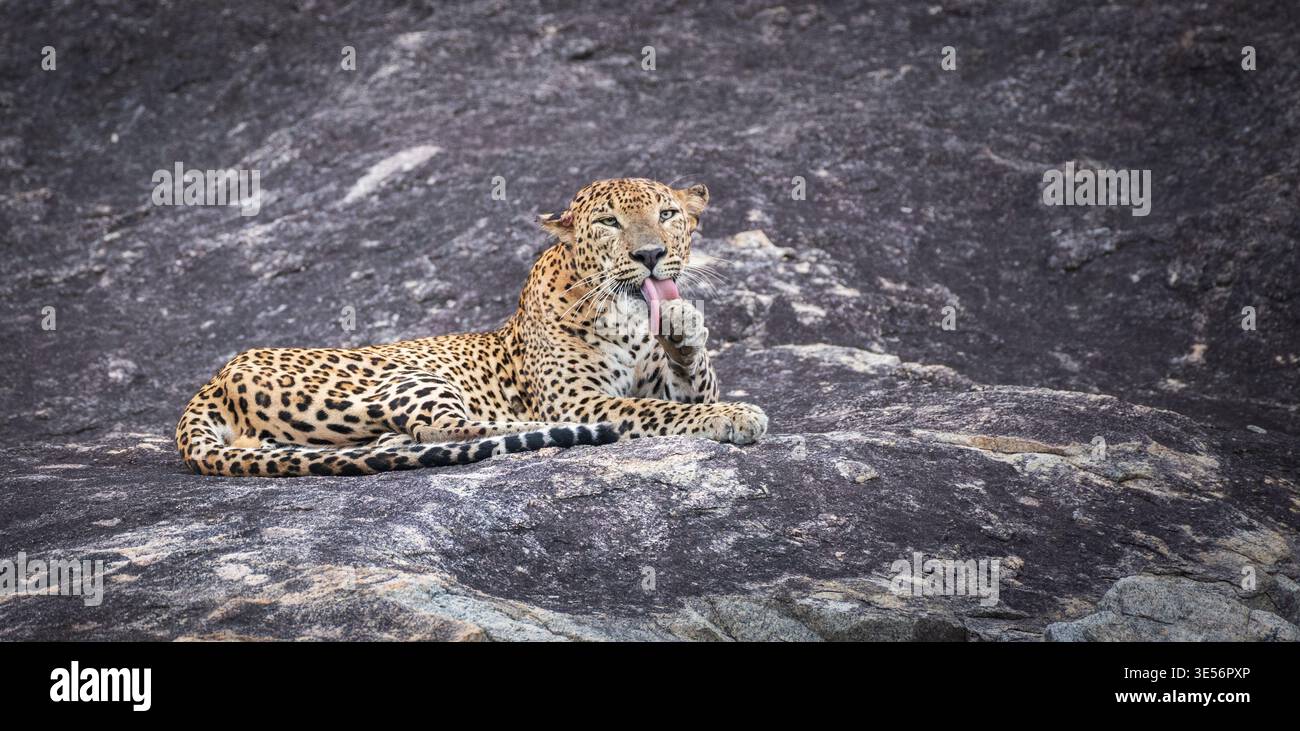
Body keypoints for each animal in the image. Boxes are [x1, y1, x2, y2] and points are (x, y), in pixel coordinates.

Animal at [175, 177, 768, 477]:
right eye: (607, 222)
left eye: (667, 215)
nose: (650, 255)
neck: (627, 321)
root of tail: (215, 379)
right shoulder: (578, 400)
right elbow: (655, 411)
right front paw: (737, 415)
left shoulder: (671, 379)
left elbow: (691, 386)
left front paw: (683, 322)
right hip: (410, 379)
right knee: (444, 430)